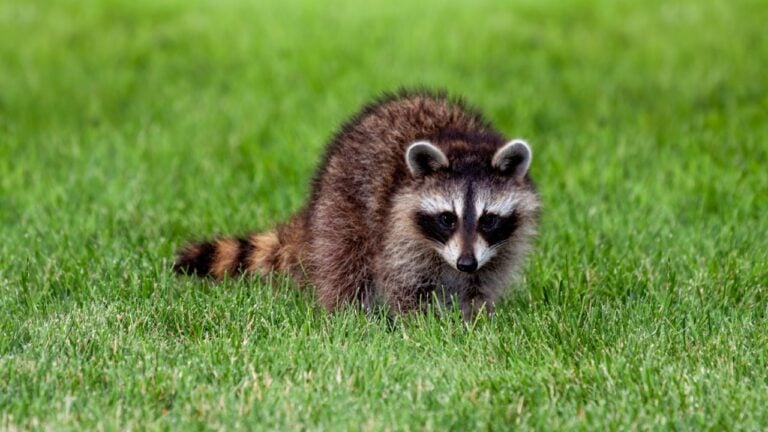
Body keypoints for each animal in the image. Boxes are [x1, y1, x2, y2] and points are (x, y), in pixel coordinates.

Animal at [174, 90, 540, 319]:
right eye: (447, 218)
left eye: (488, 219)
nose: (465, 263)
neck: (461, 143)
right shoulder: (397, 230)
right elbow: (402, 282)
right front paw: (419, 324)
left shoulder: (499, 249)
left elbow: (483, 283)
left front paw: (476, 320)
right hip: (342, 204)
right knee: (346, 258)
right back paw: (349, 315)